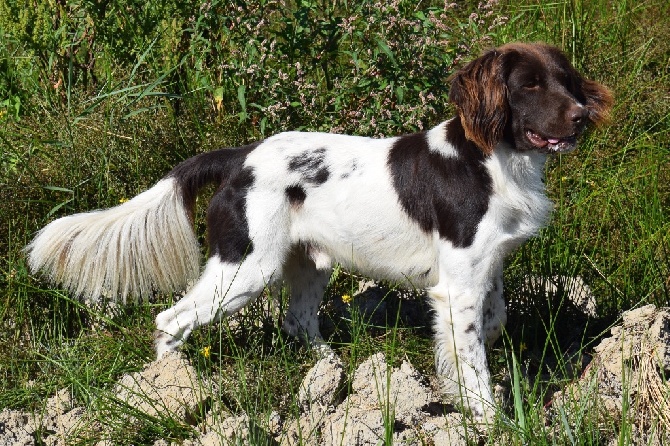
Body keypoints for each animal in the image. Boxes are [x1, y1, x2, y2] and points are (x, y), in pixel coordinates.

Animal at [26, 42, 616, 422]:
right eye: (528, 85)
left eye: (566, 81)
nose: (581, 115)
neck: (492, 159)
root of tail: (240, 158)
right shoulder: (458, 284)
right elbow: (472, 360)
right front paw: (487, 418)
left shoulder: (484, 268)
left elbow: (491, 325)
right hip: (245, 266)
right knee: (170, 320)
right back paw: (172, 386)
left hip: (308, 263)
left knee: (297, 321)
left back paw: (329, 371)